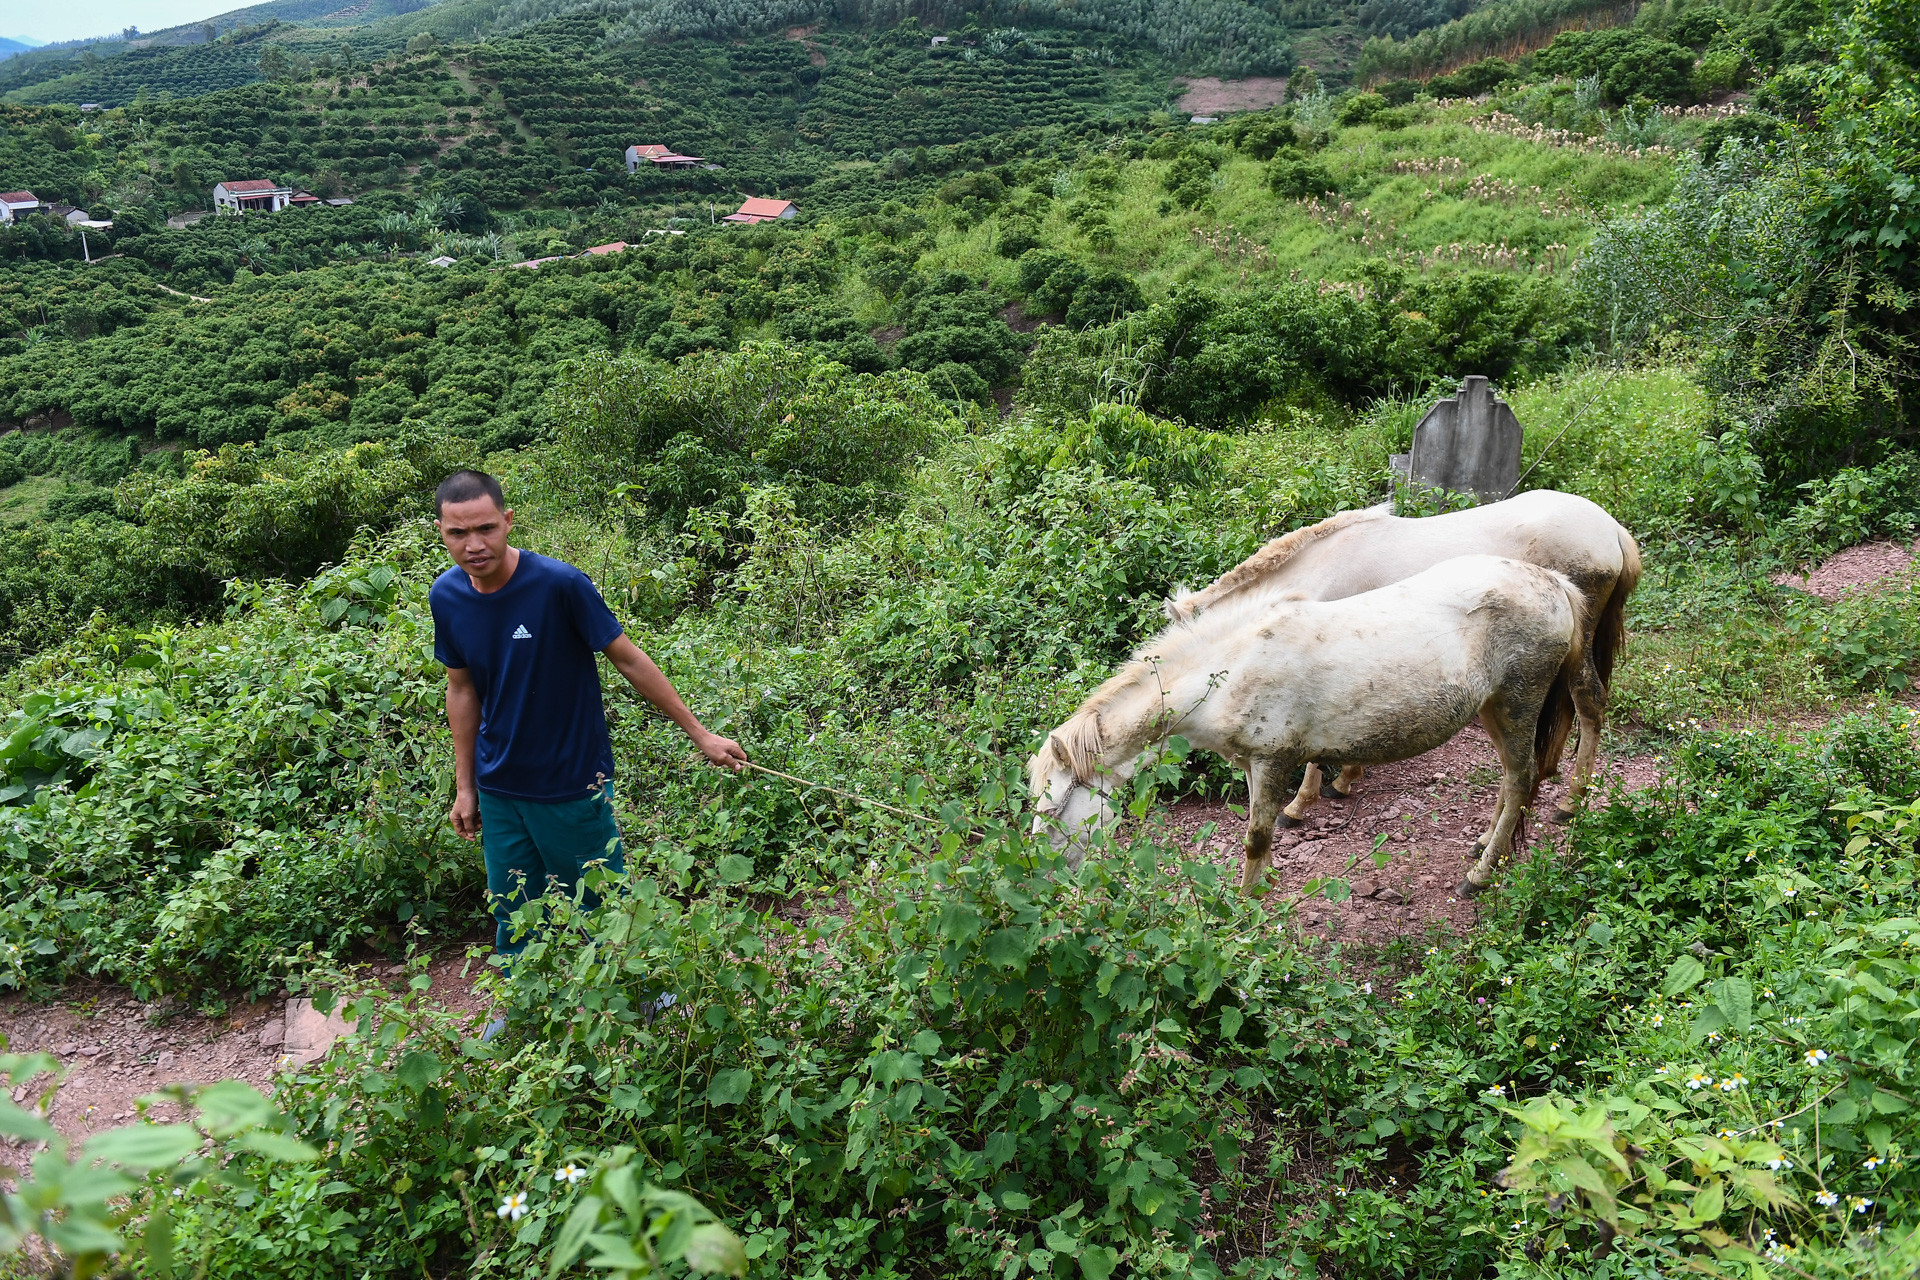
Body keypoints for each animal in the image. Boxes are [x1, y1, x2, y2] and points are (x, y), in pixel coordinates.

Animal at [1029, 556, 1597, 898]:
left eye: (1053, 807)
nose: (1045, 875)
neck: (1232, 666)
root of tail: (1556, 584)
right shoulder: (1254, 763)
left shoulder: (1273, 760)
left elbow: (1256, 837)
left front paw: (1242, 907)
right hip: (1492, 708)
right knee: (1509, 780)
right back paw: (1482, 844)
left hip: (1518, 703)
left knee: (1521, 779)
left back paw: (1479, 875)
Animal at [1167, 485, 1635, 825]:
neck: (1322, 569)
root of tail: (1613, 530)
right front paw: (1345, 780)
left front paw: (1299, 805)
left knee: (1588, 703)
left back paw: (1570, 803)